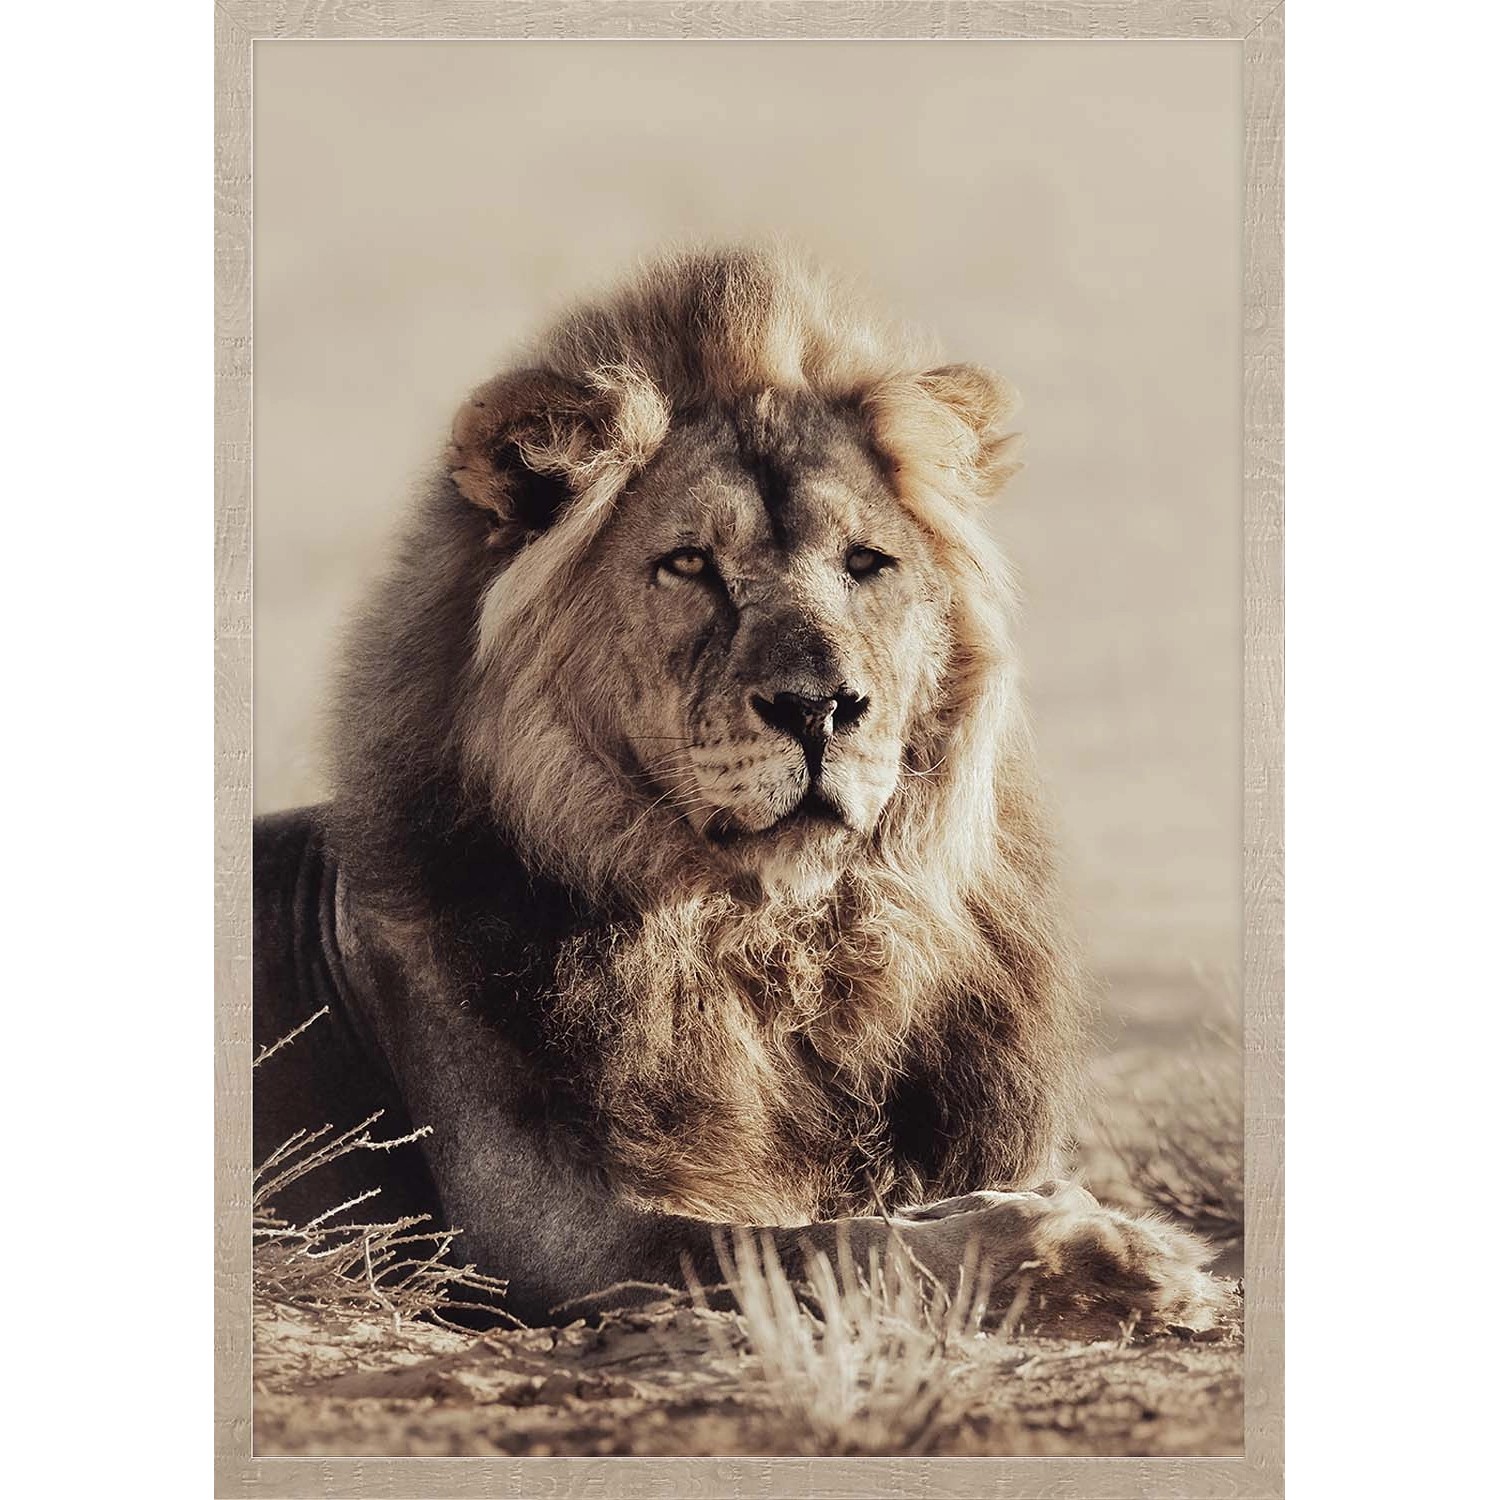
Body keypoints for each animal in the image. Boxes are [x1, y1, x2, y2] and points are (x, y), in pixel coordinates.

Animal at [253, 245, 1226, 1333]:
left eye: (865, 563)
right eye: (688, 563)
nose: (822, 708)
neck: (780, 950)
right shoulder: (544, 1241)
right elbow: (825, 1249)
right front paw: (1106, 1258)